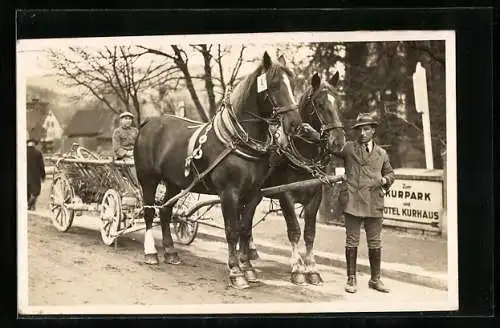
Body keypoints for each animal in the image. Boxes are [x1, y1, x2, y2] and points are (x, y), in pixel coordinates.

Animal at [134, 52, 300, 290]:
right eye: (275, 85)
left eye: (293, 83)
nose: (295, 124)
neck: (237, 140)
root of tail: (148, 122)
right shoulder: (228, 194)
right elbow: (231, 231)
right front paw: (236, 272)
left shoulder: (253, 195)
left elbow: (245, 229)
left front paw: (248, 268)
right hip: (148, 178)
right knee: (149, 212)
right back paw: (151, 253)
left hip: (175, 183)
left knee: (165, 212)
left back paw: (171, 252)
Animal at [244, 71, 346, 284]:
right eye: (320, 104)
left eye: (338, 102)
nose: (339, 141)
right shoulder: (286, 197)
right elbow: (294, 231)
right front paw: (298, 268)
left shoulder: (315, 197)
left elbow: (309, 233)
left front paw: (312, 268)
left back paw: (250, 250)